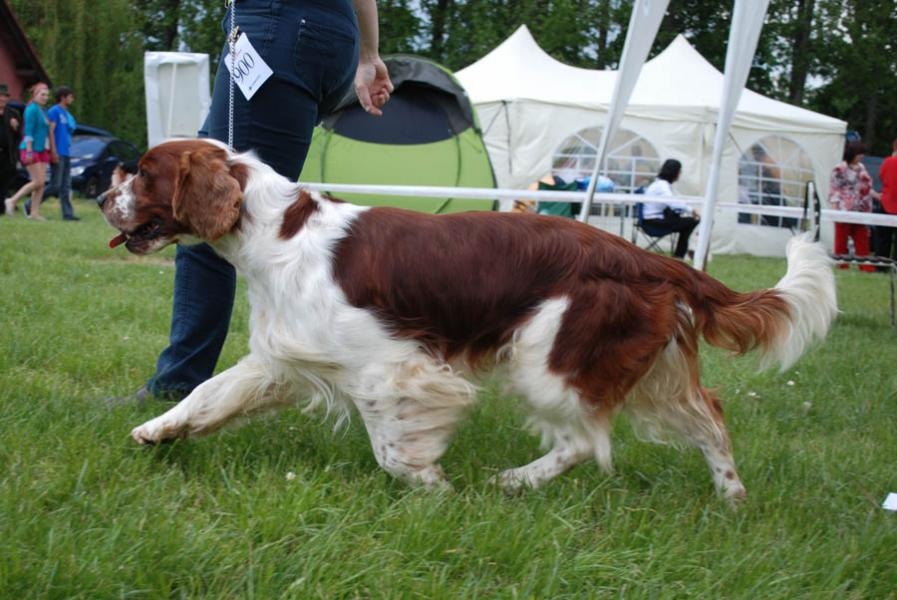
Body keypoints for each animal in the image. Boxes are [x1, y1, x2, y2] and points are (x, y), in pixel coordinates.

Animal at [101, 138, 836, 500]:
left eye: (142, 172)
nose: (105, 195)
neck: (275, 230)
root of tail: (647, 258)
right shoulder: (285, 356)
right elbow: (210, 392)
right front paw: (155, 431)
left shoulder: (393, 367)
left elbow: (393, 449)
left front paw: (432, 487)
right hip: (641, 366)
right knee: (708, 416)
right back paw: (732, 498)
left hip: (549, 360)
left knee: (585, 442)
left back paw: (514, 482)